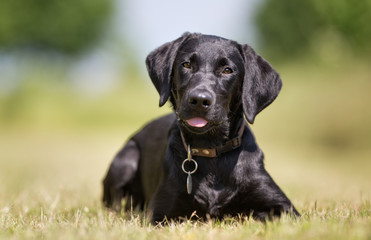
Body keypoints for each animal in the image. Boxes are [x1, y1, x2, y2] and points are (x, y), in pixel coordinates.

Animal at [103, 31, 300, 223]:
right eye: (186, 64)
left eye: (227, 70)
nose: (199, 100)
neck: (210, 149)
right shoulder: (158, 212)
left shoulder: (285, 208)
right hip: (127, 158)